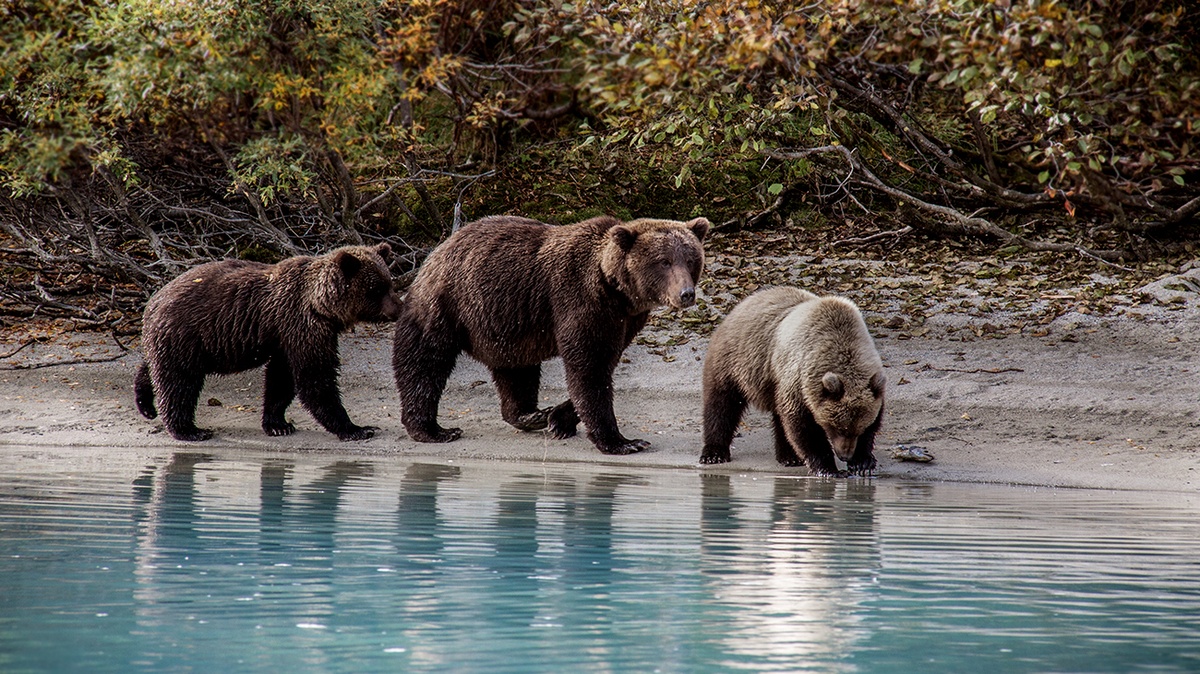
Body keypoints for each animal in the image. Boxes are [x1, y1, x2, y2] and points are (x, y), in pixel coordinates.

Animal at [133, 241, 400, 441]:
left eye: (390, 282)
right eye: (376, 289)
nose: (397, 309)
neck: (321, 306)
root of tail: (153, 302)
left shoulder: (286, 337)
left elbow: (281, 379)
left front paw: (278, 424)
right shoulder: (301, 325)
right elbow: (315, 377)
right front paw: (357, 428)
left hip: (173, 340)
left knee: (155, 369)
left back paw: (146, 405)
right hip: (186, 334)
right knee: (179, 383)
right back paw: (189, 430)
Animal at [393, 213, 710, 455]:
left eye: (690, 259)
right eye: (664, 261)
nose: (686, 294)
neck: (615, 289)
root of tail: (439, 248)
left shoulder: (626, 320)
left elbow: (603, 364)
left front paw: (559, 418)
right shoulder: (580, 301)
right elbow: (589, 368)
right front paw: (623, 441)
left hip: (507, 323)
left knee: (516, 370)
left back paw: (531, 414)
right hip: (447, 302)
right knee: (424, 360)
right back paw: (433, 429)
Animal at [700, 285, 888, 474]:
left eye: (860, 428)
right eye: (838, 428)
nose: (845, 456)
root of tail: (745, 301)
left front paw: (862, 462)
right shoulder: (798, 378)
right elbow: (802, 424)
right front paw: (827, 467)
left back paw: (789, 457)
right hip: (736, 361)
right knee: (722, 404)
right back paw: (714, 453)